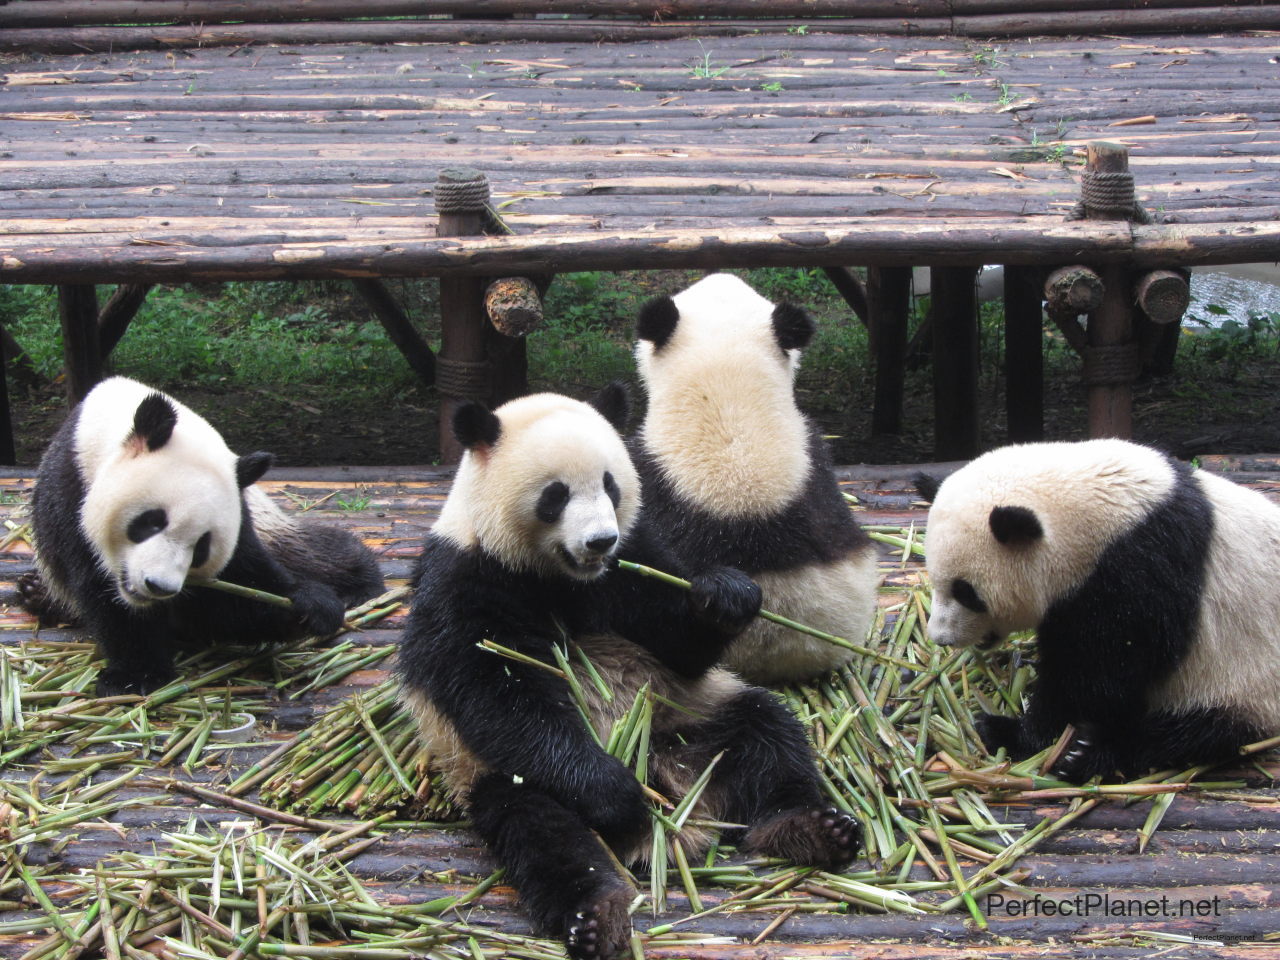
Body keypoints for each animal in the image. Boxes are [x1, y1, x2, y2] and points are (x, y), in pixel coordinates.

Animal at [21, 378, 384, 701]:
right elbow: (103, 593)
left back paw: (358, 580)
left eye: (201, 548)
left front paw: (307, 606)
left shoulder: (239, 514)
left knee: (306, 553)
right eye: (152, 522)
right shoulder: (70, 494)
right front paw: (136, 675)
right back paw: (34, 592)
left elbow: (236, 590)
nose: (158, 586)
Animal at [396, 386, 860, 960]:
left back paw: (811, 828)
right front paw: (615, 794)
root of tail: (673, 786)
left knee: (768, 734)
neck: (561, 576)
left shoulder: (634, 556)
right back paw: (598, 908)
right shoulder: (465, 577)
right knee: (542, 829)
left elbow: (678, 642)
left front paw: (726, 596)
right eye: (555, 495)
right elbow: (497, 691)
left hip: (691, 714)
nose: (599, 541)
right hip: (493, 773)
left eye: (611, 485)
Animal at [921, 440, 1280, 783]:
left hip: (1241, 683)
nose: (940, 637)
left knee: (1191, 733)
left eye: (966, 592)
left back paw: (1085, 754)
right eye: (934, 579)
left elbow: (1099, 673)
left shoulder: (1139, 569)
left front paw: (1013, 733)